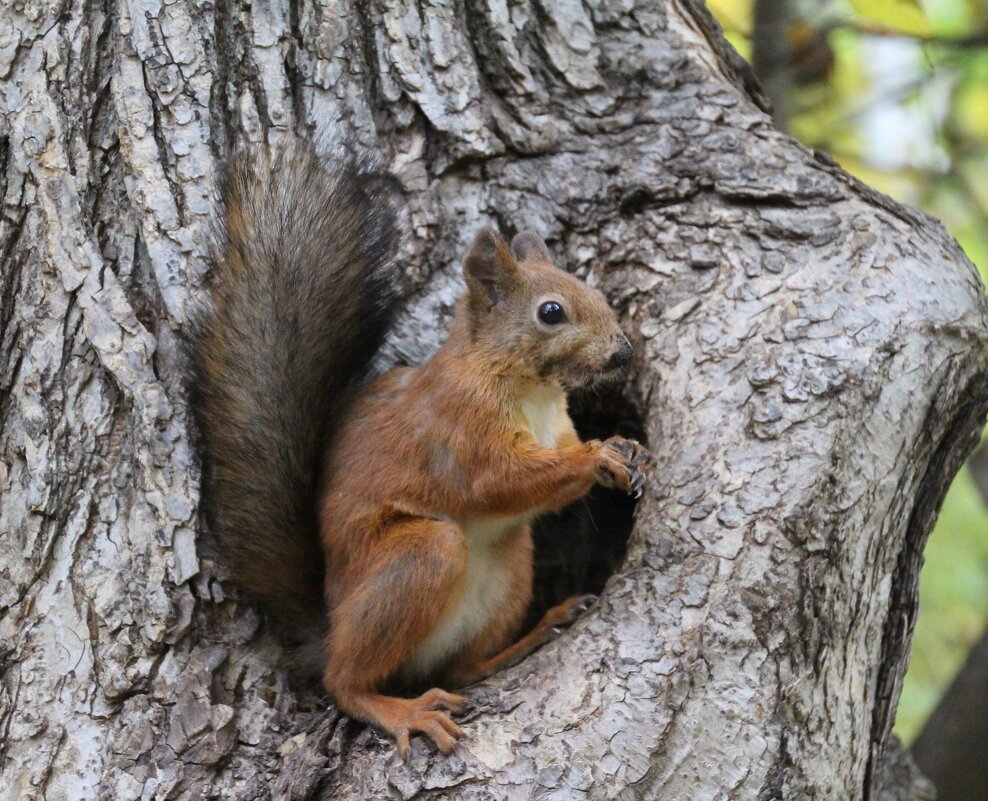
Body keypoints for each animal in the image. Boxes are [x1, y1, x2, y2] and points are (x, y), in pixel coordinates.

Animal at [192, 138, 656, 756]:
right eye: (551, 311)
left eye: (596, 291)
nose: (622, 352)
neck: (528, 386)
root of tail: (330, 626)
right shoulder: (458, 430)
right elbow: (497, 481)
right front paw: (598, 456)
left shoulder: (553, 427)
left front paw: (628, 447)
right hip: (417, 558)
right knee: (345, 681)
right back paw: (400, 709)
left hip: (511, 562)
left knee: (463, 668)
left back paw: (537, 631)